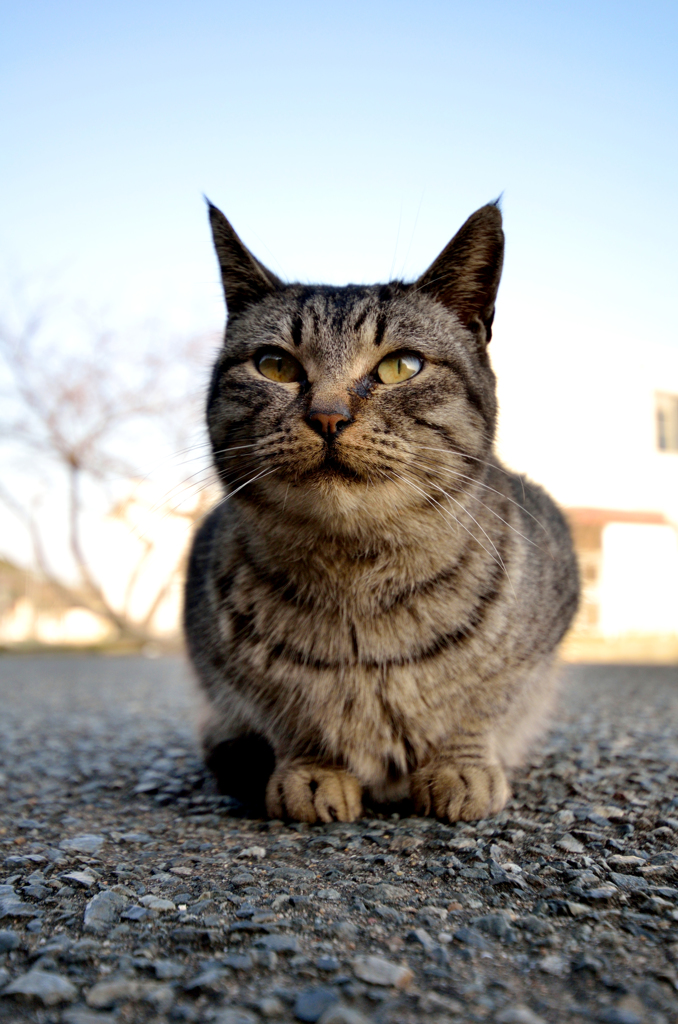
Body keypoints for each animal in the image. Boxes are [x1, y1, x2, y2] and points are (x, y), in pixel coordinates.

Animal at [183, 197, 581, 823]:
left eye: (402, 366)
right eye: (275, 365)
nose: (327, 415)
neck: (356, 578)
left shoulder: (542, 627)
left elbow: (481, 703)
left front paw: (460, 766)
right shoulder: (217, 651)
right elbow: (290, 718)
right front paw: (313, 772)